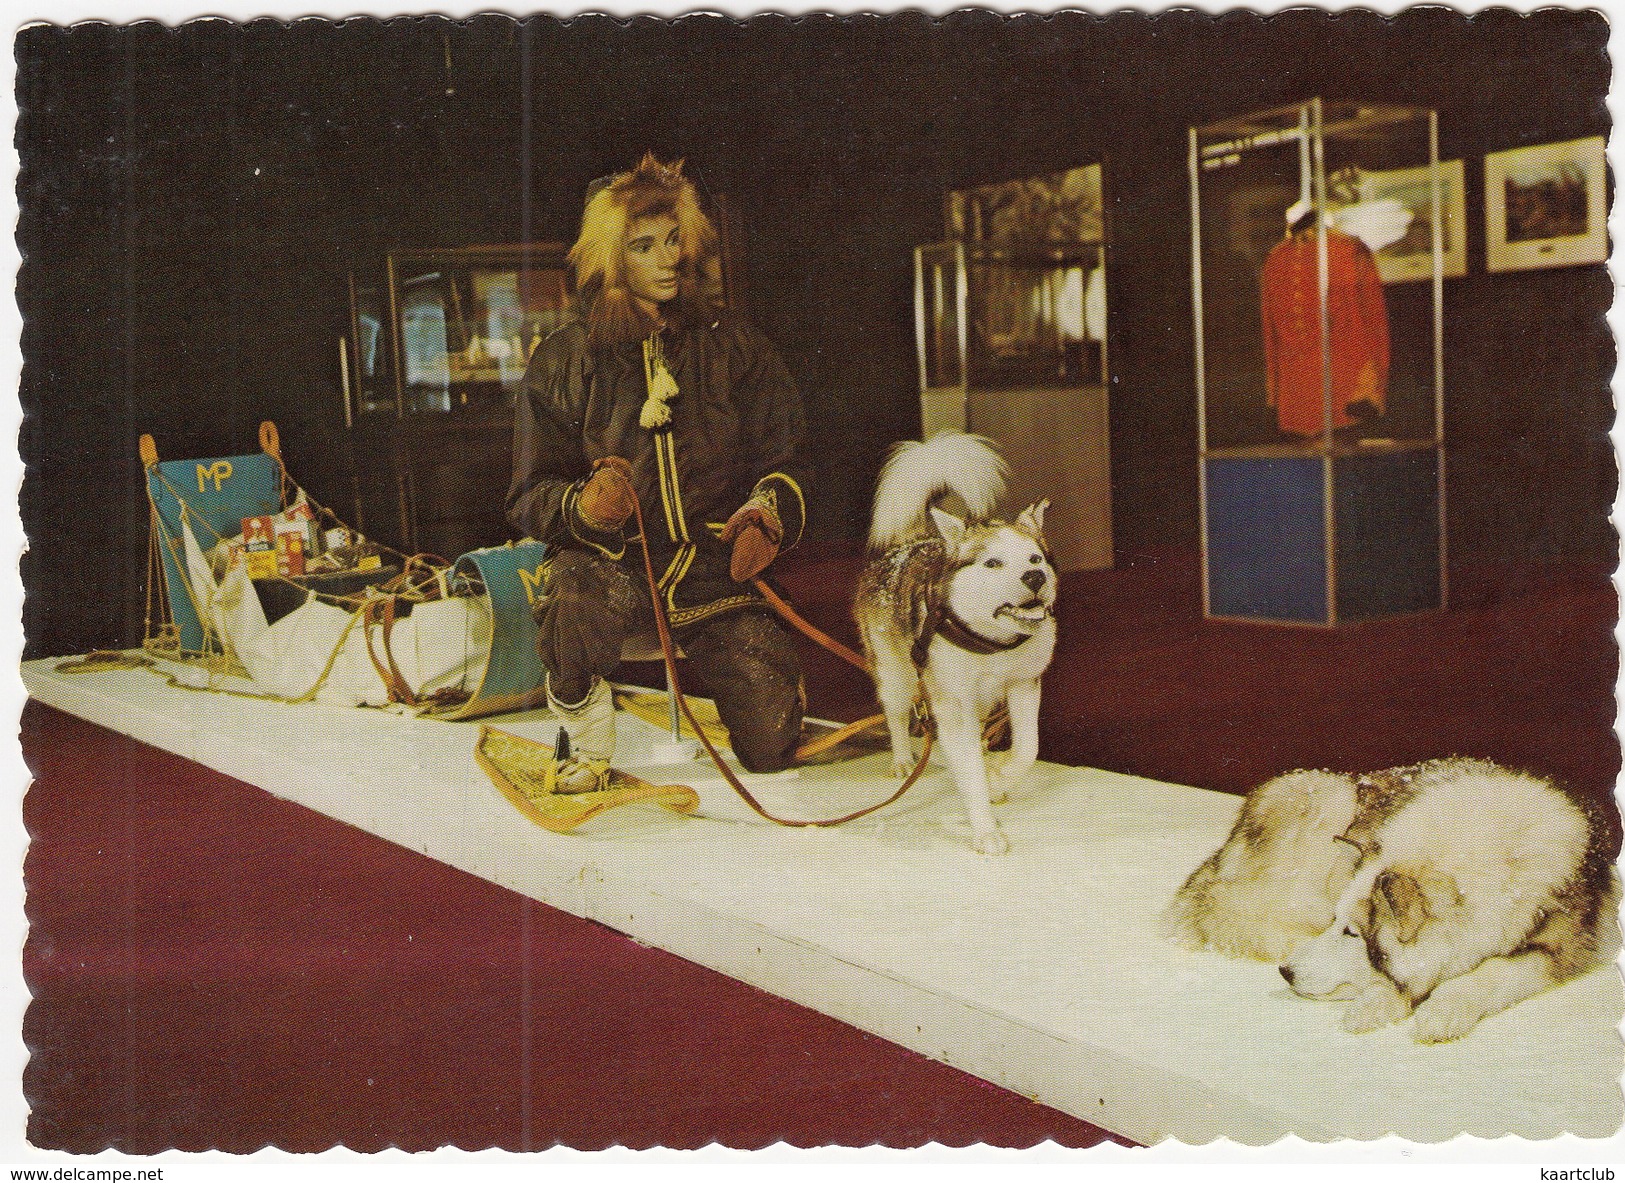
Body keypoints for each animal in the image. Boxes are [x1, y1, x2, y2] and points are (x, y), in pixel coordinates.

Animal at [858, 432, 1059, 851]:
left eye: (1035, 558)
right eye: (993, 563)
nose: (1034, 577)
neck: (991, 642)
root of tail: (911, 541)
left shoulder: (1023, 685)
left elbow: (1027, 748)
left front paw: (999, 776)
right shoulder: (952, 701)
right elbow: (969, 769)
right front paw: (985, 829)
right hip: (897, 675)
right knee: (896, 715)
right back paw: (902, 759)